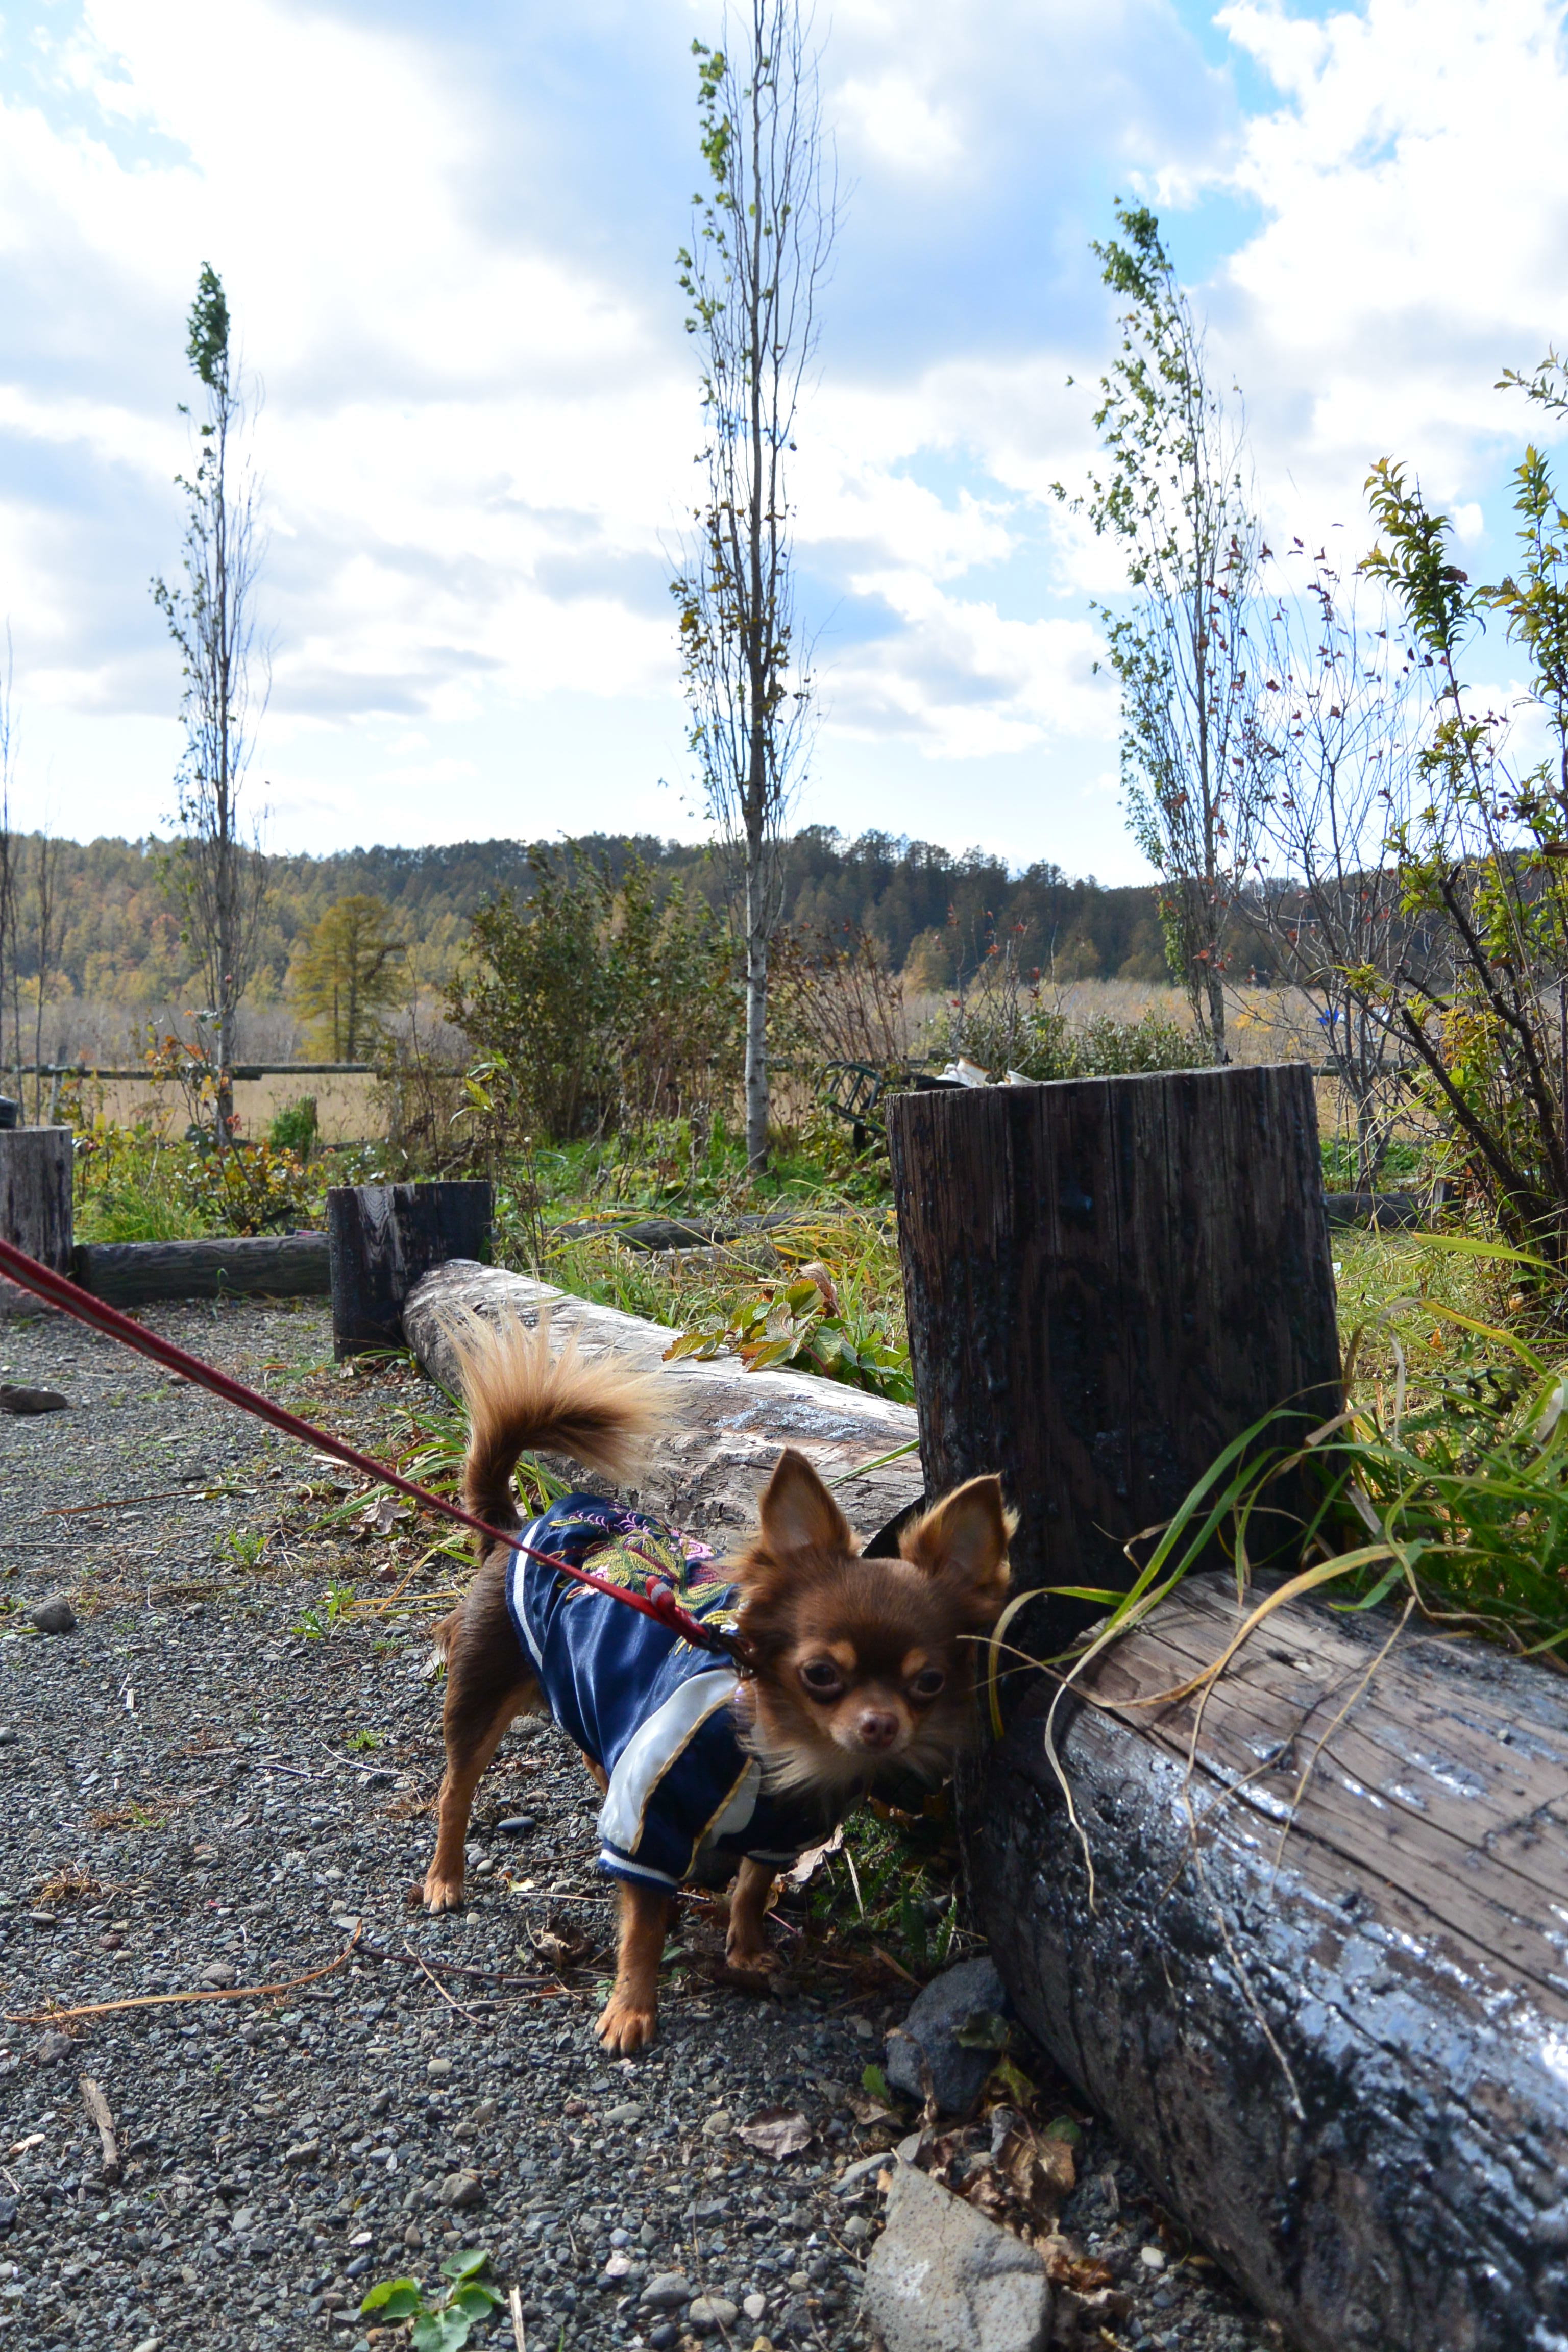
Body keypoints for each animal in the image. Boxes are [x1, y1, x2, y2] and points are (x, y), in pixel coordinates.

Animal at [423, 1326, 1011, 2060]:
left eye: (928, 1682)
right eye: (821, 1673)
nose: (880, 1724)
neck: (782, 1752)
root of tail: (517, 1529)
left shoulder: (780, 1838)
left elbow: (754, 1890)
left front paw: (747, 1949)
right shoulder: (648, 1827)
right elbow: (644, 1928)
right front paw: (631, 2010)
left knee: (593, 1751)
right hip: (477, 1701)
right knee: (454, 1792)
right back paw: (445, 1878)